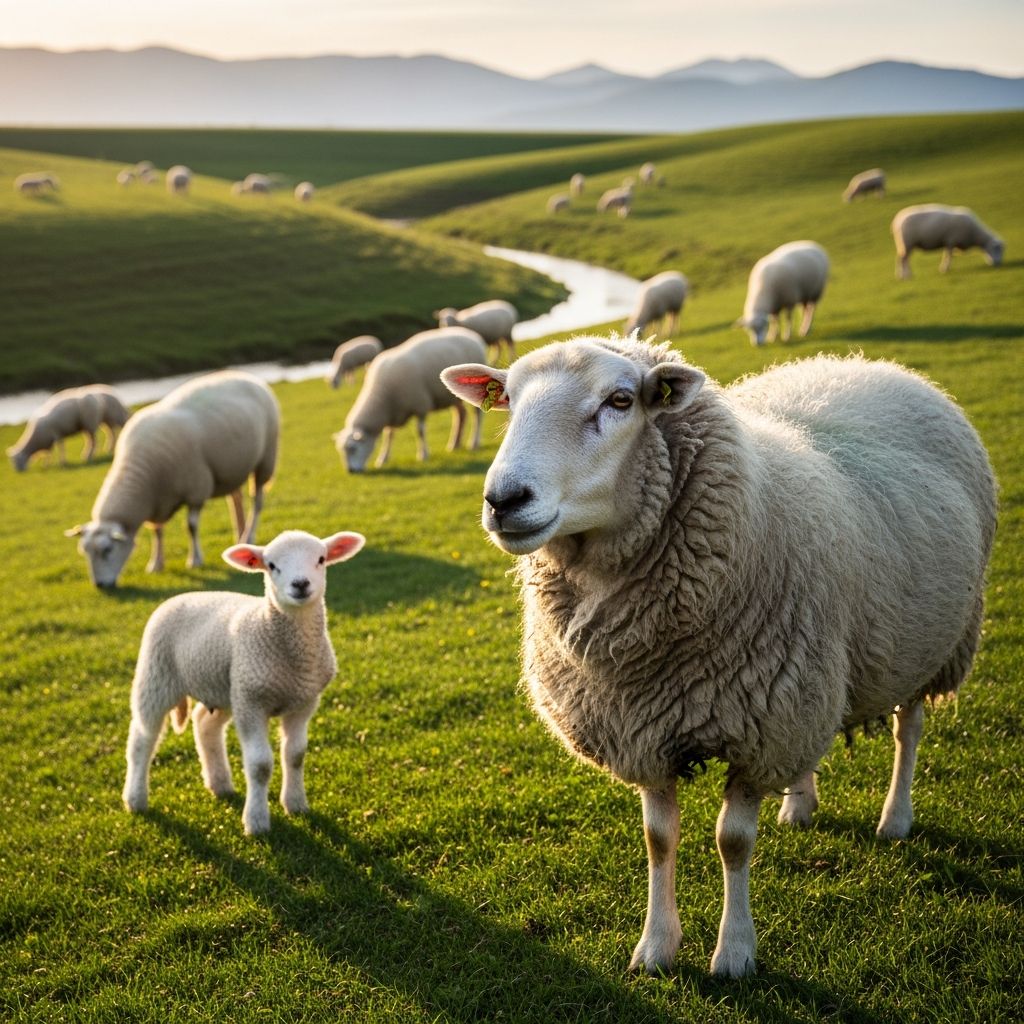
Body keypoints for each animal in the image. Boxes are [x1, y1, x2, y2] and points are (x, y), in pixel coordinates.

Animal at [65, 371, 279, 588]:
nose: (100, 585)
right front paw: (156, 564)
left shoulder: (196, 489)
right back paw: (241, 536)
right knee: (236, 500)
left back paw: (249, 533)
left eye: (108, 549)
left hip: (265, 459)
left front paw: (195, 560)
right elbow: (157, 532)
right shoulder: (158, 500)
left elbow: (191, 527)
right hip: (232, 469)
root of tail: (243, 374)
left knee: (257, 501)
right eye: (85, 551)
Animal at [122, 528, 365, 835]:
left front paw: (296, 804)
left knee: (205, 725)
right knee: (142, 738)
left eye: (321, 559)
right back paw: (135, 799)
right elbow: (260, 765)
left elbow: (296, 754)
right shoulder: (252, 703)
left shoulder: (304, 702)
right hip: (157, 675)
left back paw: (220, 784)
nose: (300, 584)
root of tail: (179, 596)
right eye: (271, 565)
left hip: (224, 687)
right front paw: (257, 822)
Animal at [334, 327, 486, 473]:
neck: (383, 396)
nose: (351, 471)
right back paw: (454, 444)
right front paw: (383, 459)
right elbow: (388, 435)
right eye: (342, 451)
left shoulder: (420, 405)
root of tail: (471, 334)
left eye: (353, 448)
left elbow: (420, 432)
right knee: (460, 415)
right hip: (452, 396)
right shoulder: (393, 412)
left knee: (477, 415)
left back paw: (474, 443)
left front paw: (423, 455)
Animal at [441, 333, 996, 979]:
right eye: (507, 401)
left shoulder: (758, 731)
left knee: (909, 730)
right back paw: (799, 804)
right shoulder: (647, 727)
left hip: (932, 644)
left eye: (620, 400)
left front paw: (733, 953)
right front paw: (656, 947)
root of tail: (869, 365)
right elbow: (658, 838)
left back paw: (895, 819)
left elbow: (733, 842)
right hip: (809, 681)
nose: (503, 500)